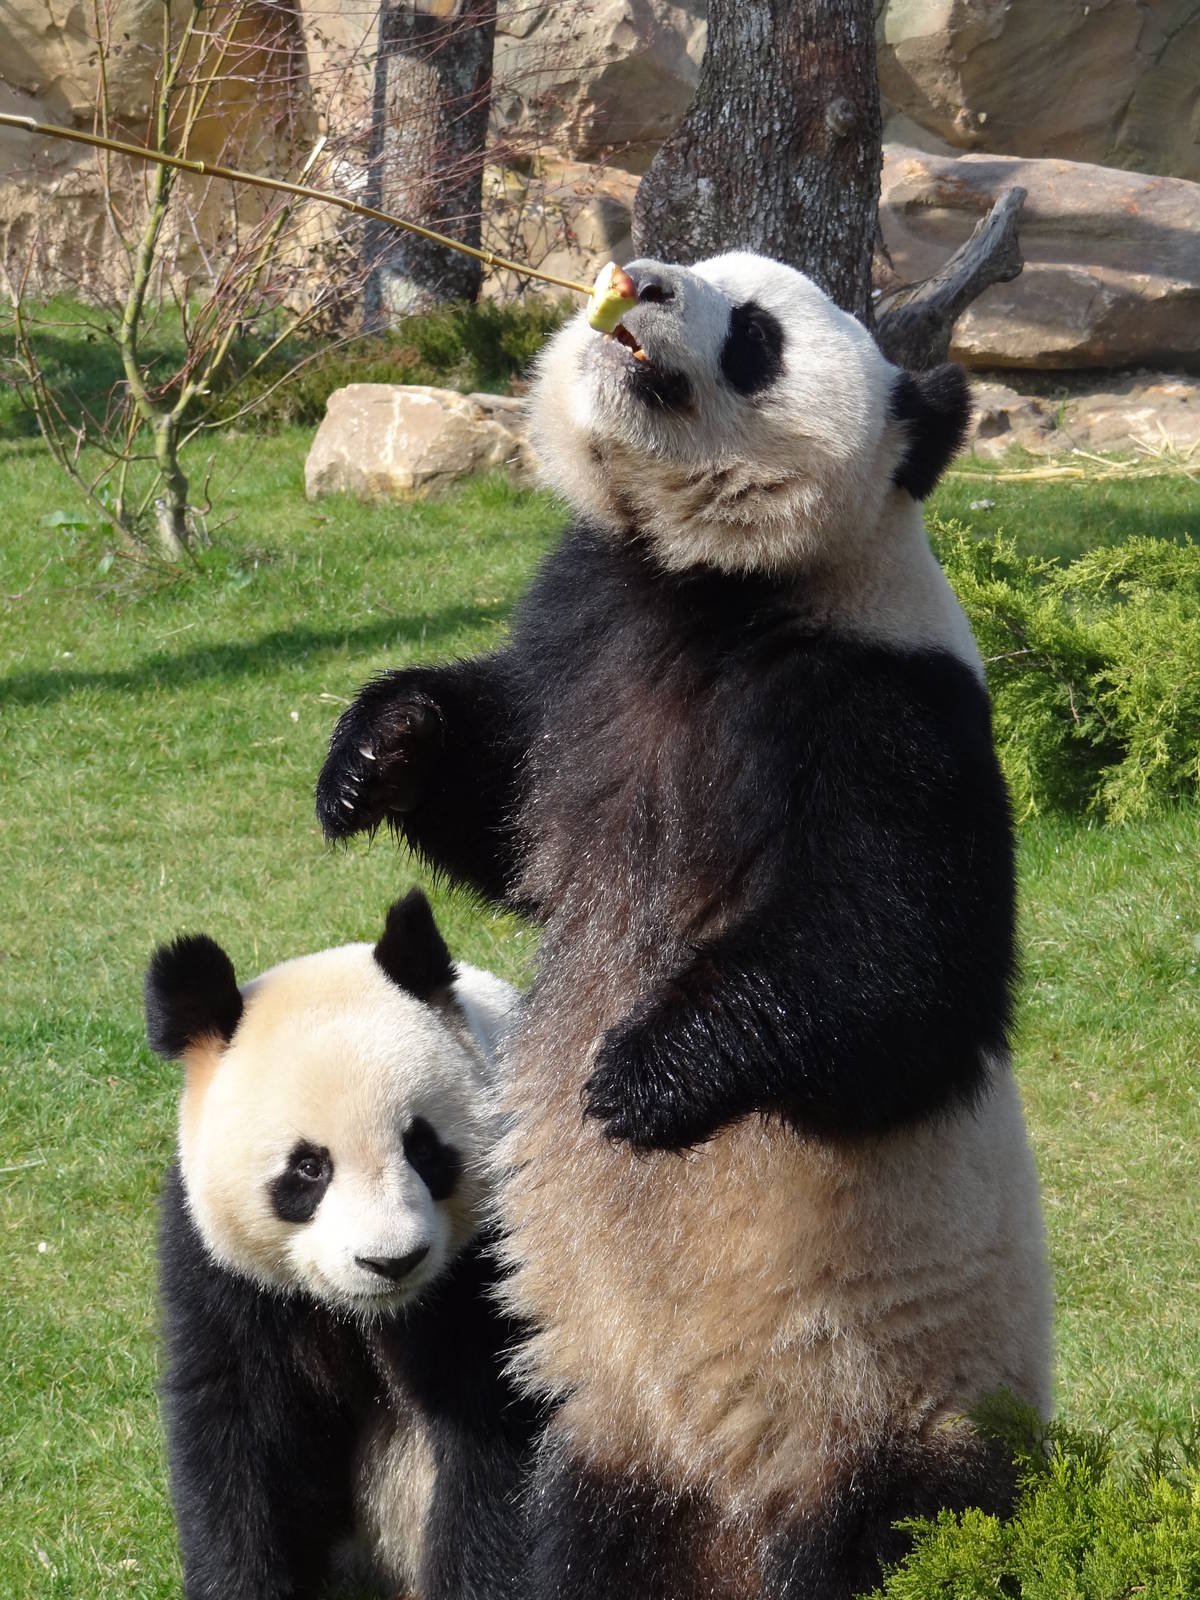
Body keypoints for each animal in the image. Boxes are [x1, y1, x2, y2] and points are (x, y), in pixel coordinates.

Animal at [146, 888, 539, 1600]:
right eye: (308, 1169)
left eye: (423, 1147)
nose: (392, 1261)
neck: (377, 1314)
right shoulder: (222, 1273)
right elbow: (243, 1441)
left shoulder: (497, 1258)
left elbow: (497, 1451)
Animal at [315, 253, 1053, 1600]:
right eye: (699, 261)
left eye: (755, 332)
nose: (645, 279)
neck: (707, 587)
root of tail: (738, 1525)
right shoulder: (586, 637)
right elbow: (497, 788)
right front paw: (375, 752)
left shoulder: (880, 711)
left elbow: (903, 969)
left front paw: (643, 1078)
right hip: (614, 1439)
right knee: (589, 1534)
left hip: (892, 1416)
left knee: (893, 1529)